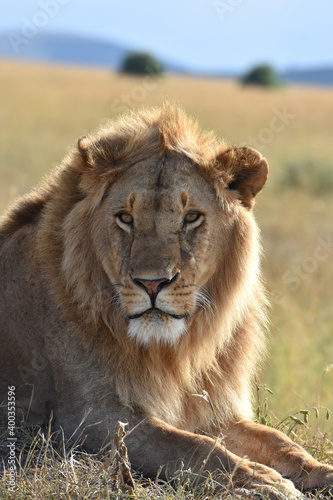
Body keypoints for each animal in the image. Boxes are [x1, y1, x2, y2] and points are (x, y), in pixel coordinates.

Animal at [0, 104, 332, 496]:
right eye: (125, 218)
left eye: (192, 218)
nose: (152, 283)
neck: (173, 350)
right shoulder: (87, 419)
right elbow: (192, 448)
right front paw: (263, 481)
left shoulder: (211, 407)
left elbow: (280, 442)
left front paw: (321, 472)